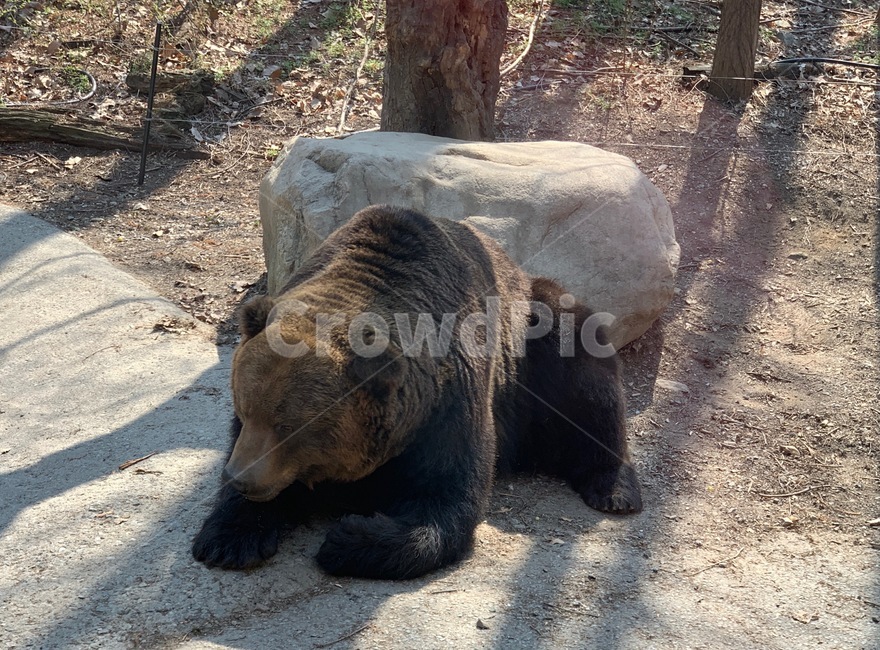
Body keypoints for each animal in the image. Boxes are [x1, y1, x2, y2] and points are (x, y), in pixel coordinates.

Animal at [192, 205, 642, 579]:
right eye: (245, 409)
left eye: (290, 426)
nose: (240, 478)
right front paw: (228, 538)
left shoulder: (450, 402)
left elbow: (444, 498)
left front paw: (347, 539)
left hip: (534, 346)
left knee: (583, 368)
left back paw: (613, 488)